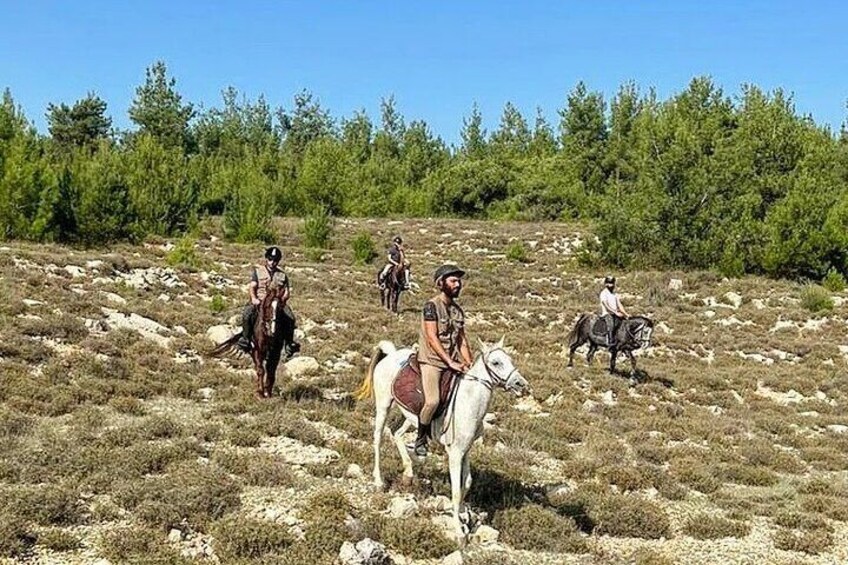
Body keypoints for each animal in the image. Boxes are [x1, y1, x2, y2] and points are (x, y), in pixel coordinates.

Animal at [354, 338, 528, 540]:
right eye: (496, 362)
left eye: (509, 359)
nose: (521, 384)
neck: (469, 402)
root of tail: (391, 355)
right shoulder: (455, 453)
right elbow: (456, 490)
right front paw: (458, 530)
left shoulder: (466, 450)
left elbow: (467, 482)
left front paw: (462, 513)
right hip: (384, 405)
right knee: (378, 439)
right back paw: (379, 481)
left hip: (412, 417)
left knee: (397, 434)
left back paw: (409, 471)